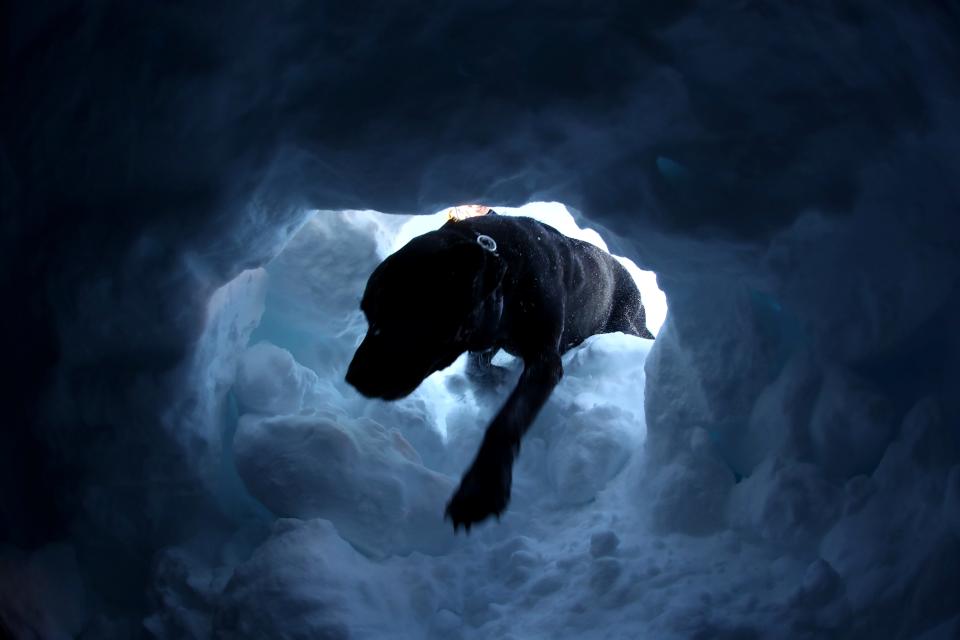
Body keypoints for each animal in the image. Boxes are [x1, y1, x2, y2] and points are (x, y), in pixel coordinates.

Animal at [344, 212, 652, 528]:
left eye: (402, 313)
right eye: (367, 312)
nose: (352, 377)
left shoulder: (544, 359)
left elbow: (507, 420)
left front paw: (480, 490)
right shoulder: (490, 332)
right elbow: (476, 370)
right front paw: (499, 378)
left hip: (628, 321)